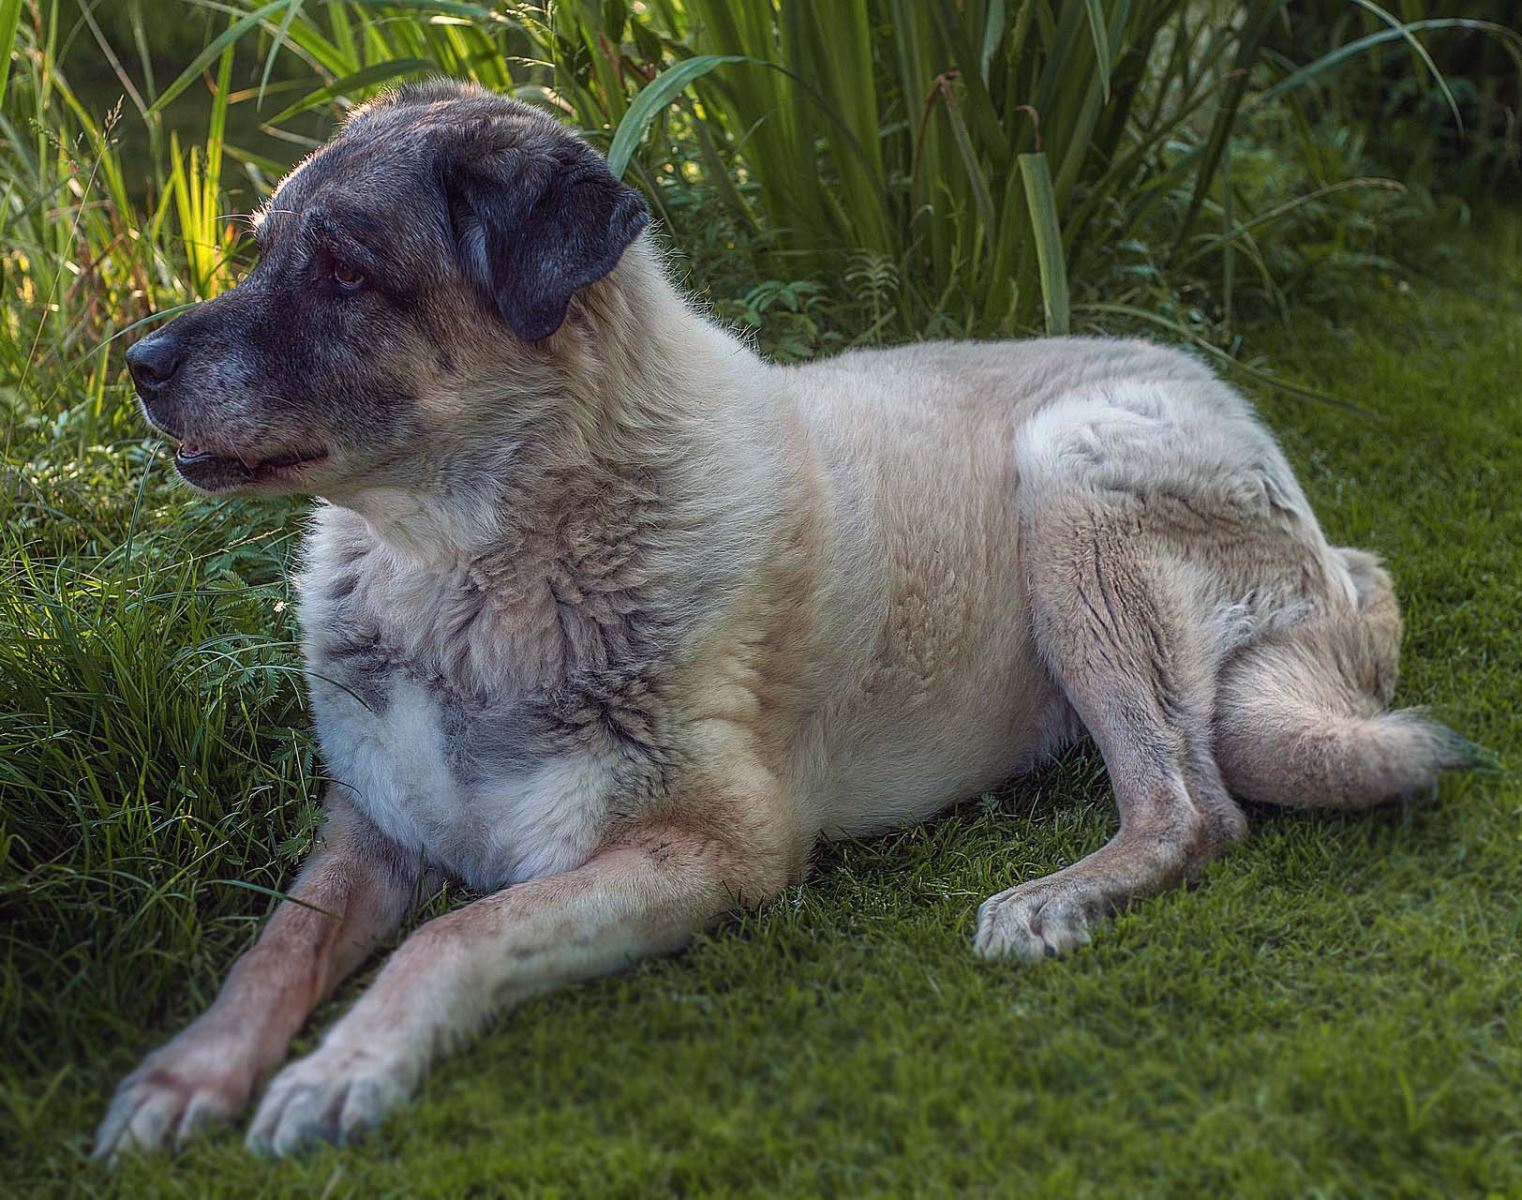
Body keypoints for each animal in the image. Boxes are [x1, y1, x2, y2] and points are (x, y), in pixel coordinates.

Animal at [92, 79, 1461, 1157]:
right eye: (261, 248)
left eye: (345, 269)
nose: (139, 364)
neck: (461, 567)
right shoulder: (373, 823)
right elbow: (273, 949)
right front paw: (185, 1076)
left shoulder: (712, 849)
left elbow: (459, 934)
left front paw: (340, 1070)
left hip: (1067, 484)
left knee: (1195, 808)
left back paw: (1053, 896)